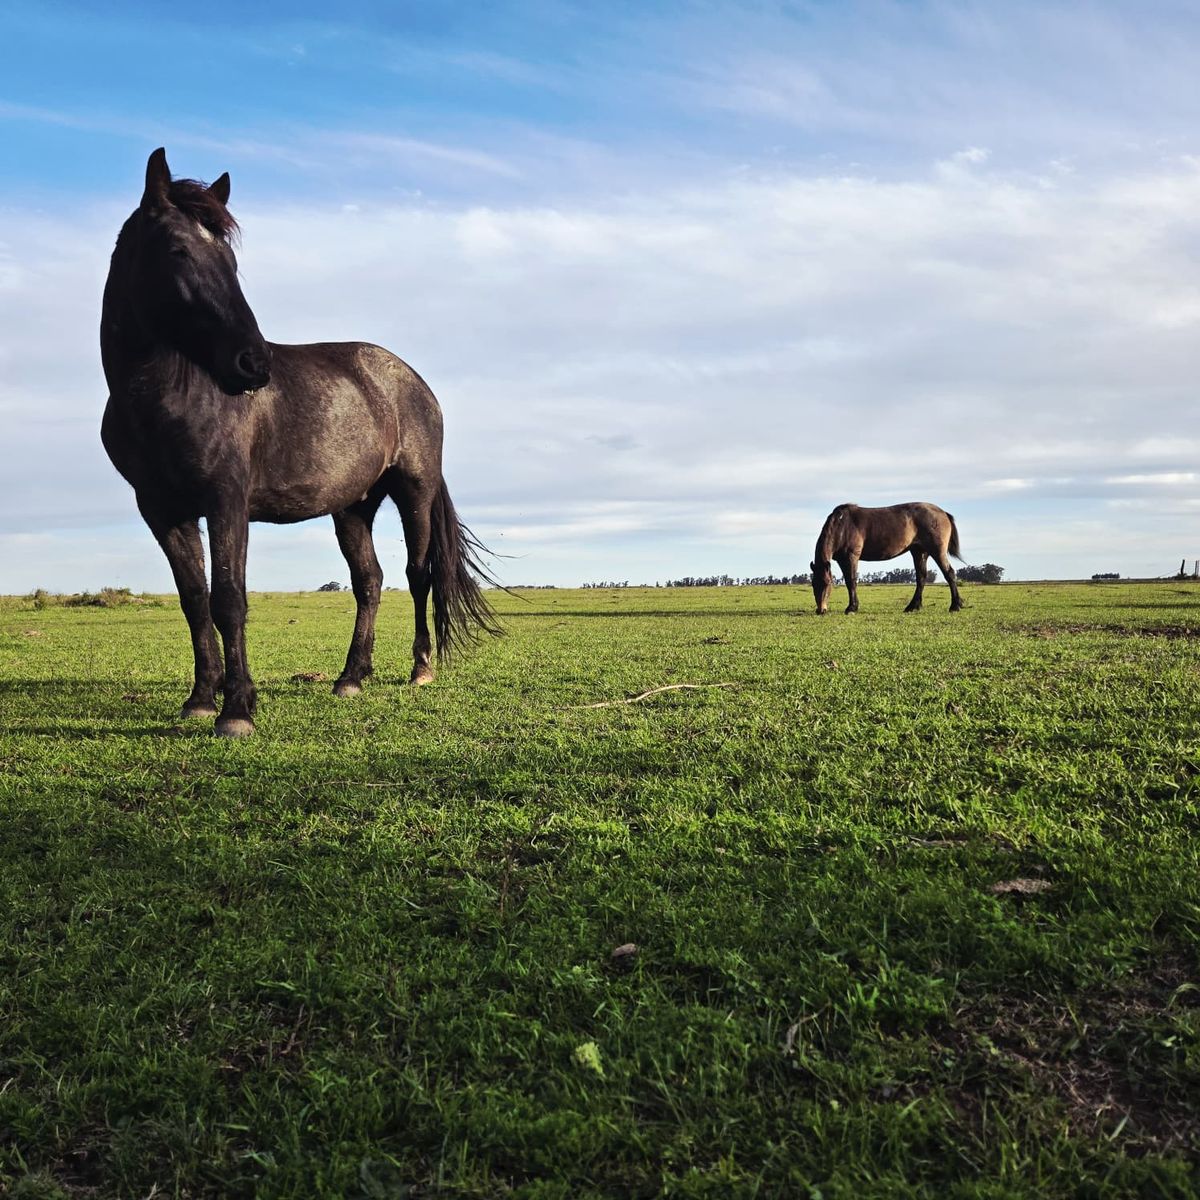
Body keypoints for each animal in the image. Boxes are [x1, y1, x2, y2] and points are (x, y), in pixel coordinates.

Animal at [101, 148, 500, 737]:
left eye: (231, 260)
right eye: (177, 250)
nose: (253, 362)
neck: (170, 395)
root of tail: (411, 379)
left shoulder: (226, 501)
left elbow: (229, 600)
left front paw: (237, 709)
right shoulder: (161, 509)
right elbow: (194, 600)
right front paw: (200, 699)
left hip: (415, 491)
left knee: (418, 573)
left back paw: (421, 668)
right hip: (353, 506)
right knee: (369, 581)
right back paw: (351, 677)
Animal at [810, 502, 963, 615]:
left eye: (827, 584)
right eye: (813, 584)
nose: (820, 610)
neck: (842, 526)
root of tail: (943, 513)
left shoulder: (851, 556)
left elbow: (851, 581)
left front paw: (852, 608)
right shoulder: (842, 559)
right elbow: (849, 582)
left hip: (937, 551)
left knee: (949, 573)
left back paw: (955, 606)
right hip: (919, 552)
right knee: (921, 578)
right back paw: (912, 606)